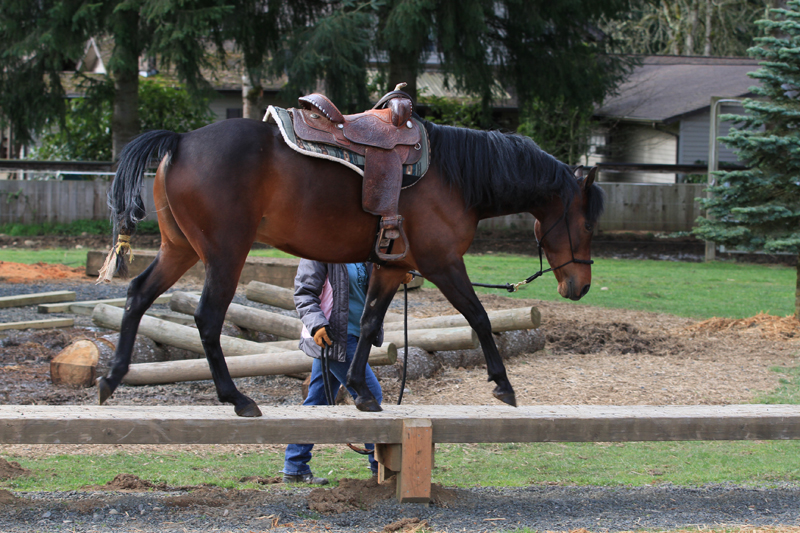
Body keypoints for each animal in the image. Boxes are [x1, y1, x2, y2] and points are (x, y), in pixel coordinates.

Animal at [97, 115, 604, 416]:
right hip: (225, 254)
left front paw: (360, 389)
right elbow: (478, 317)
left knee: (137, 294)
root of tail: (180, 140)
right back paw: (236, 398)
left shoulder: (393, 267)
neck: (453, 176)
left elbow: (370, 321)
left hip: (179, 250)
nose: (580, 285)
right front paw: (502, 384)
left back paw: (113, 376)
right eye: (585, 222)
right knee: (206, 318)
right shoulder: (443, 262)